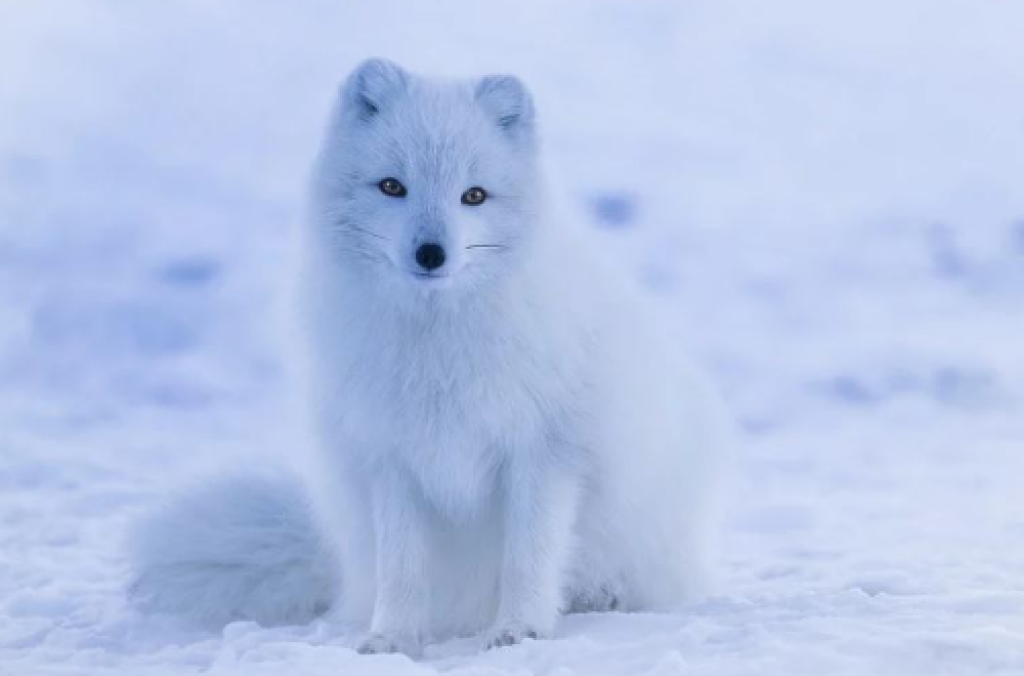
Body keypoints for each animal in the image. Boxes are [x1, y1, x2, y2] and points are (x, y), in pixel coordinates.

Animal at [128, 59, 733, 655]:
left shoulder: (545, 453)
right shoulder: (391, 457)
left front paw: (520, 631)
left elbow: (530, 556)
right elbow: (403, 568)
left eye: (474, 196)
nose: (431, 253)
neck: (437, 345)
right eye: (392, 186)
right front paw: (392, 639)